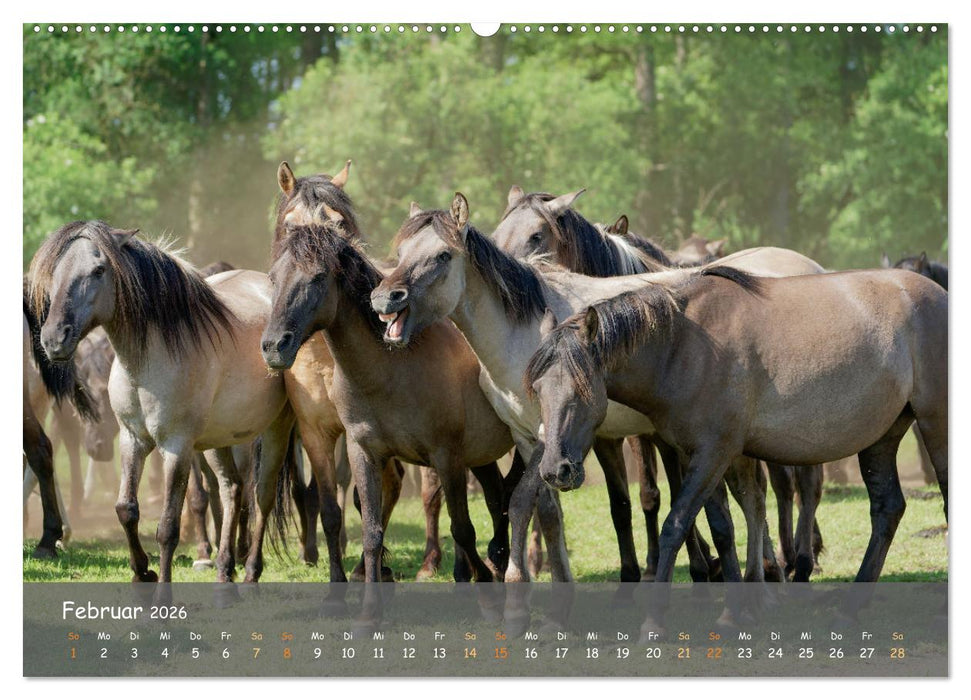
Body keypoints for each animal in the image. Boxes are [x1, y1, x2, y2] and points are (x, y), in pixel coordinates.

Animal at [28, 221, 296, 593]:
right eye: (55, 272)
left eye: (98, 270)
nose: (54, 340)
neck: (149, 360)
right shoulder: (133, 439)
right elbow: (126, 509)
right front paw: (143, 572)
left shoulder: (176, 447)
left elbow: (168, 526)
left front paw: (162, 591)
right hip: (219, 440)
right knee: (231, 489)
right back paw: (224, 570)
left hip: (274, 429)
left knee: (263, 495)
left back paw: (250, 571)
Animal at [260, 213, 514, 586]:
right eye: (273, 277)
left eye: (318, 276)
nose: (274, 346)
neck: (392, 371)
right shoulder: (359, 450)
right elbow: (368, 530)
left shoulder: (447, 457)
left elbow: (463, 529)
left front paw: (476, 574)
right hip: (481, 454)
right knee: (498, 498)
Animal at [371, 193, 824, 583]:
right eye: (400, 253)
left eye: (442, 255)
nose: (384, 298)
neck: (523, 331)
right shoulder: (529, 438)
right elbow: (548, 512)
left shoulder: (553, 434)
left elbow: (524, 502)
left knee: (780, 489)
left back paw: (789, 564)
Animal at [523, 267, 947, 615]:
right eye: (539, 389)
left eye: (582, 391)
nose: (556, 470)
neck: (685, 346)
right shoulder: (700, 454)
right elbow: (722, 528)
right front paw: (736, 612)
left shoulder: (715, 452)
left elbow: (676, 525)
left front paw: (656, 619)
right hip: (883, 436)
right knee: (887, 509)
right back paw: (849, 609)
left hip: (935, 425)